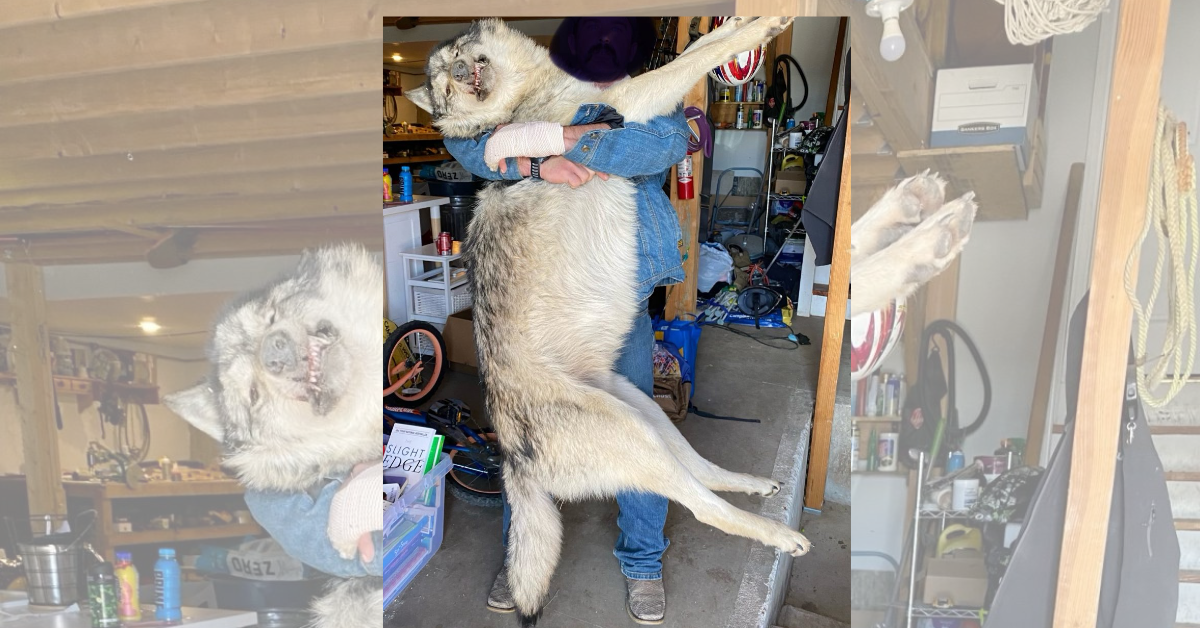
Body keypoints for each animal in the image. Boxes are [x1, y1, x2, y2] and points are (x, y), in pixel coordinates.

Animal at [408, 17, 811, 624]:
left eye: (458, 56)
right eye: (442, 84)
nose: (457, 72)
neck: (524, 99)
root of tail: (513, 460)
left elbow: (698, 46)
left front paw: (740, 24)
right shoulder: (627, 101)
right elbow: (689, 61)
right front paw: (757, 28)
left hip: (645, 411)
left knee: (699, 472)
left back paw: (753, 485)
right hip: (633, 432)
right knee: (699, 505)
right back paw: (777, 534)